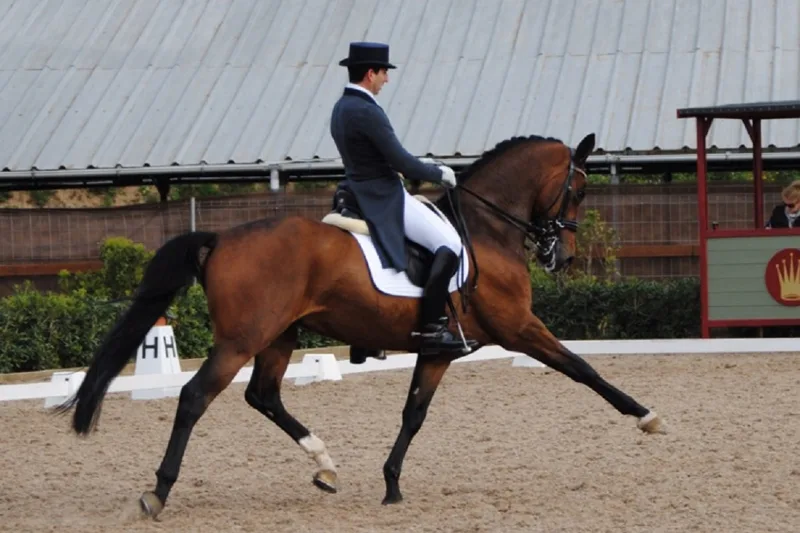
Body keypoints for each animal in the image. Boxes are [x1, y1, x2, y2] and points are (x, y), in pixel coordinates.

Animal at [56, 132, 666, 520]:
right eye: (577, 189)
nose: (561, 256)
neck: (487, 229)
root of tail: (221, 238)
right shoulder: (519, 327)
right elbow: (583, 368)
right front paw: (647, 417)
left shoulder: (440, 349)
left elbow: (414, 414)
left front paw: (391, 485)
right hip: (241, 339)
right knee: (194, 397)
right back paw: (158, 493)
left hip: (280, 336)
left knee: (263, 396)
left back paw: (325, 466)